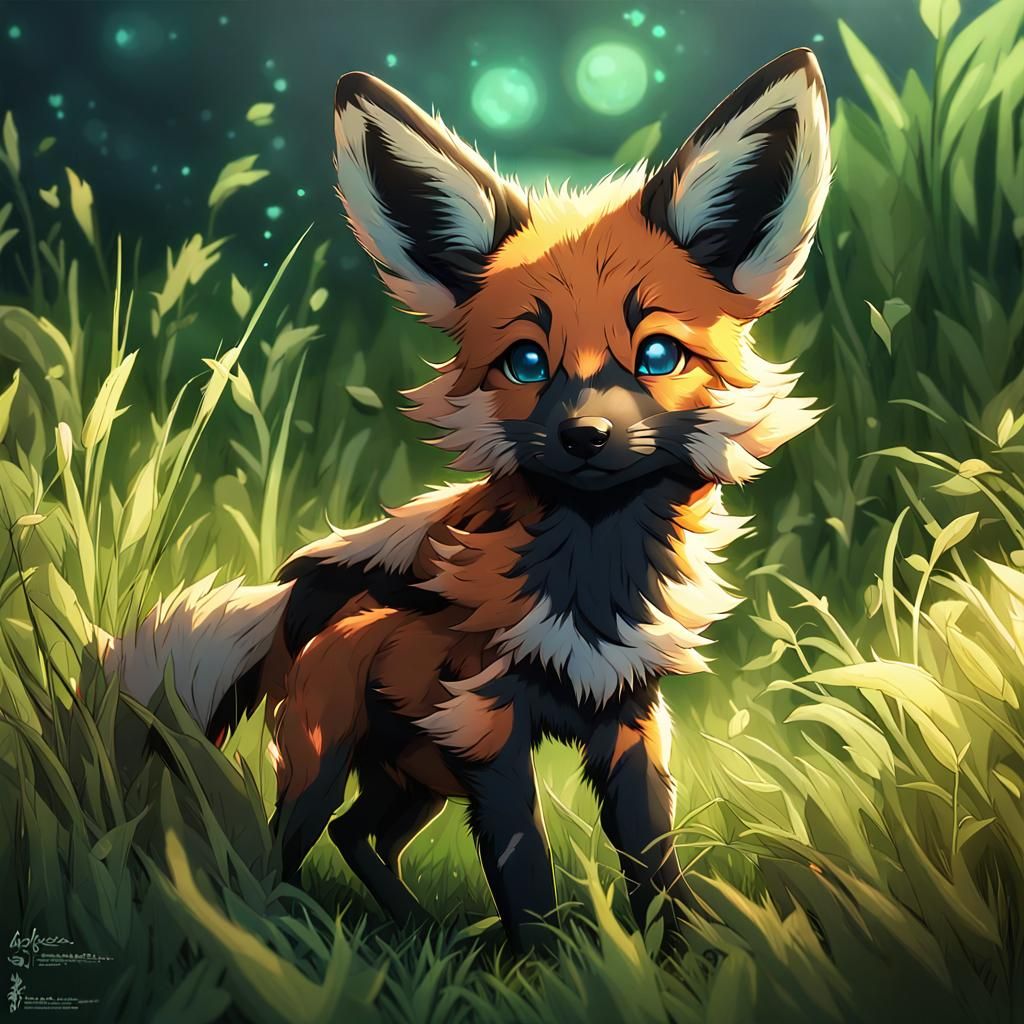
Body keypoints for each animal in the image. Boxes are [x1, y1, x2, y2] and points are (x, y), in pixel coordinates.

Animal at [104, 49, 830, 951]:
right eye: (526, 362)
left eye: (658, 354)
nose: (585, 436)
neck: (589, 587)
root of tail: (288, 602)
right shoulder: (486, 724)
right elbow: (526, 871)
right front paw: (549, 966)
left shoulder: (631, 718)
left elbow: (653, 864)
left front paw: (681, 960)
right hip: (335, 763)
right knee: (288, 843)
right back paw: (283, 934)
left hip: (416, 778)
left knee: (359, 834)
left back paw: (417, 931)